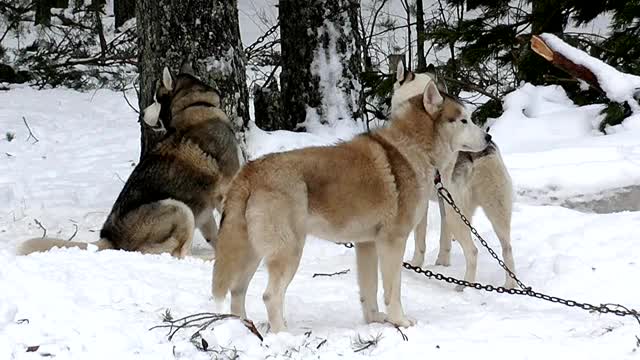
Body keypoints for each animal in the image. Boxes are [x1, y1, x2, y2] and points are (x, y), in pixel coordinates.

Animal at [20, 64, 241, 256]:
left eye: (155, 99)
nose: (142, 113)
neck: (196, 105)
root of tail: (110, 238)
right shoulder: (224, 192)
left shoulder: (206, 210)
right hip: (179, 208)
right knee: (174, 254)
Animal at [210, 80, 490, 330]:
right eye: (464, 120)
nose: (488, 136)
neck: (412, 149)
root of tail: (250, 170)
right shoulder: (393, 241)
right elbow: (393, 290)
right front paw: (399, 321)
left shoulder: (366, 244)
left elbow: (370, 289)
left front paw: (375, 320)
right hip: (288, 252)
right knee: (270, 296)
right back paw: (283, 335)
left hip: (252, 254)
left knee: (237, 291)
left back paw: (245, 329)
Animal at [392, 63, 516, 290]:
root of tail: (479, 154)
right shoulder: (442, 203)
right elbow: (444, 240)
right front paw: (442, 263)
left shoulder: (423, 206)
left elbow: (419, 241)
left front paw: (415, 265)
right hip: (495, 212)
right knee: (507, 250)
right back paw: (509, 286)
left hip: (457, 214)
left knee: (473, 252)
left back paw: (463, 288)